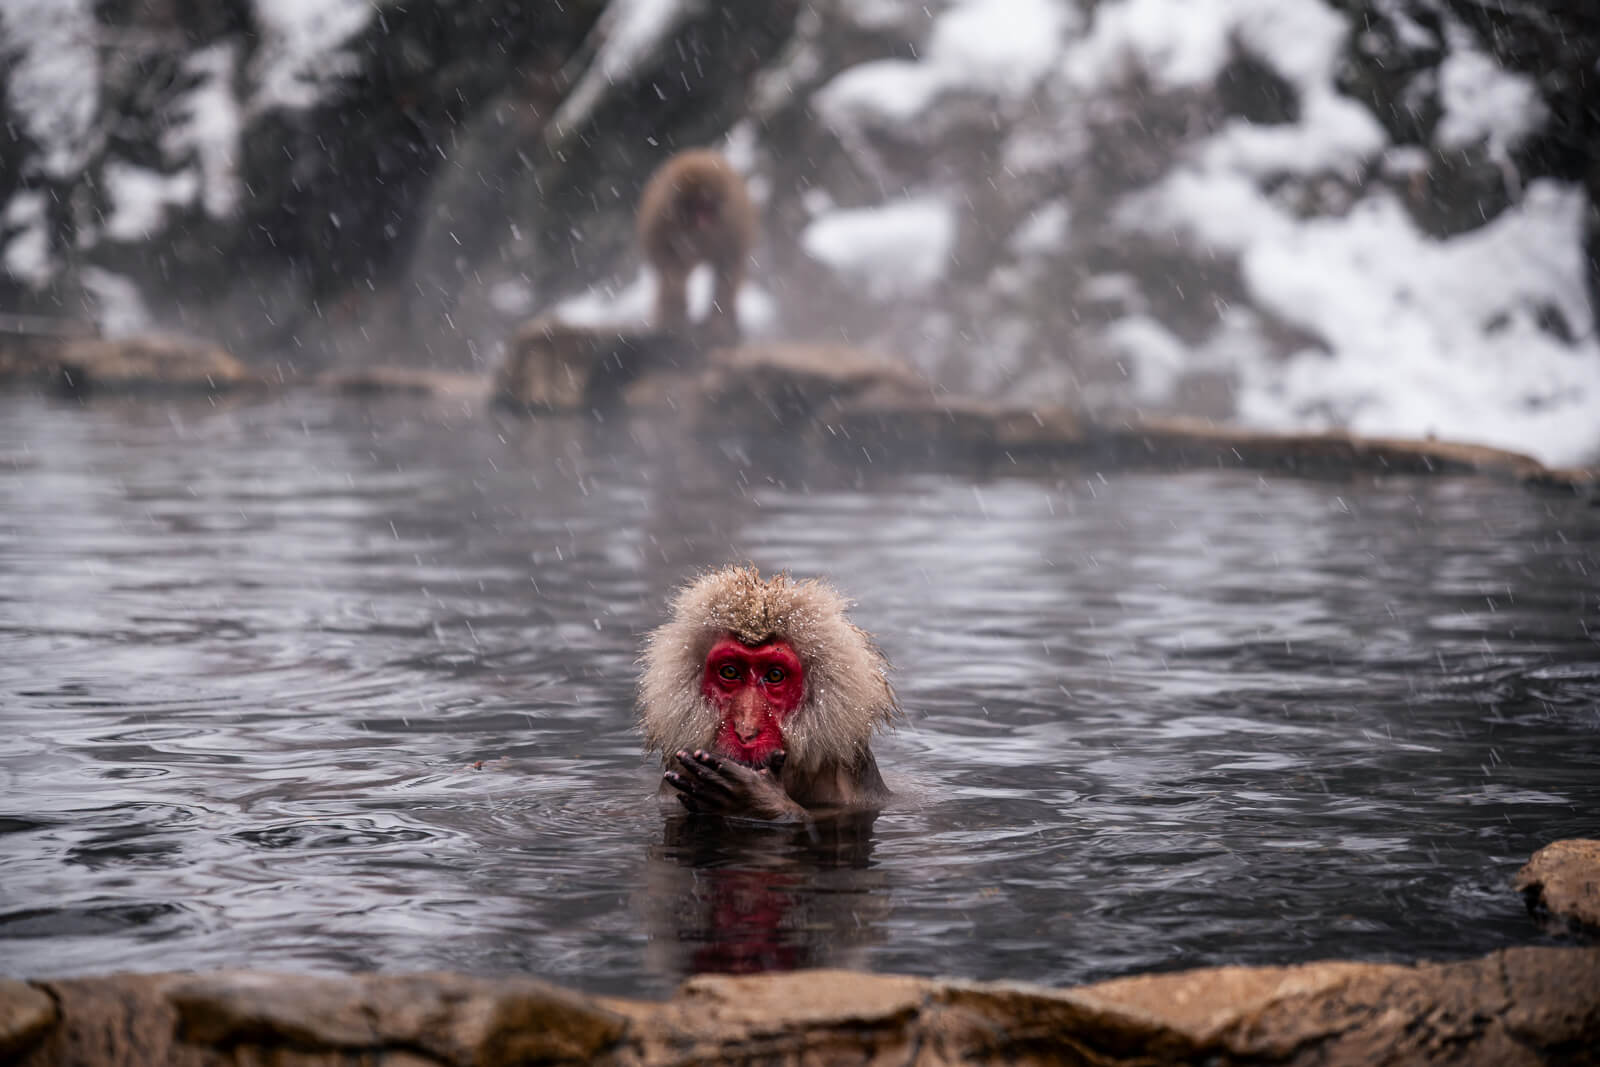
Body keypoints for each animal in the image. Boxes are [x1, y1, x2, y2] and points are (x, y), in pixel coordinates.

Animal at [636, 149, 756, 344]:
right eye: (695, 208)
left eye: (708, 208)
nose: (703, 221)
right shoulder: (661, 220)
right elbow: (668, 264)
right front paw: (675, 317)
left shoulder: (733, 223)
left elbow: (728, 267)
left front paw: (719, 325)